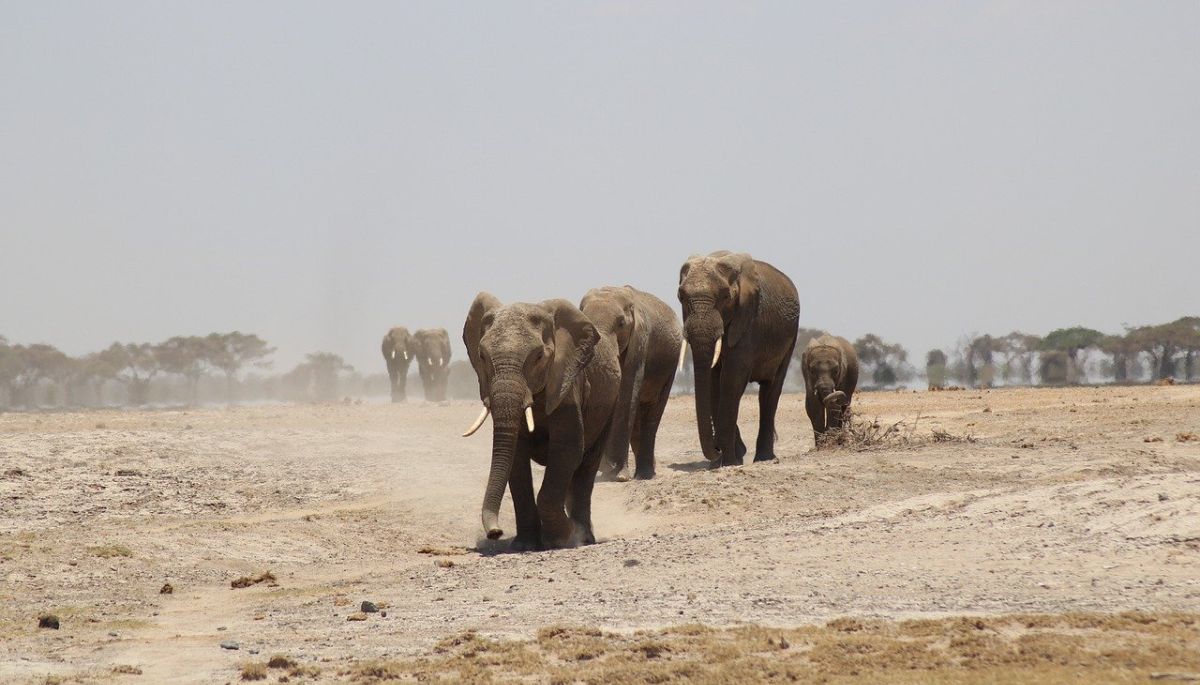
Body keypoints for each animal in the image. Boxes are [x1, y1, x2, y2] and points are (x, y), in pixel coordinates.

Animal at [460, 292, 619, 549]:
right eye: (482, 356)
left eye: (538, 357)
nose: (495, 532)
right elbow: (515, 457)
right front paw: (524, 546)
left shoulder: (567, 382)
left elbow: (567, 449)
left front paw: (561, 538)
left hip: (610, 406)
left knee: (587, 466)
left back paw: (583, 536)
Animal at [583, 285, 686, 482]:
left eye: (621, 323)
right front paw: (607, 470)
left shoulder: (639, 342)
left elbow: (626, 393)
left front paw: (618, 476)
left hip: (670, 367)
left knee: (652, 413)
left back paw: (645, 475)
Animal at [676, 249, 796, 470]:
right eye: (681, 297)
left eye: (725, 296)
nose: (715, 450)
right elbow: (714, 381)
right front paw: (727, 459)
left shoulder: (748, 319)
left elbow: (731, 378)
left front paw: (730, 461)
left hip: (791, 337)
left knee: (770, 391)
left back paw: (764, 458)